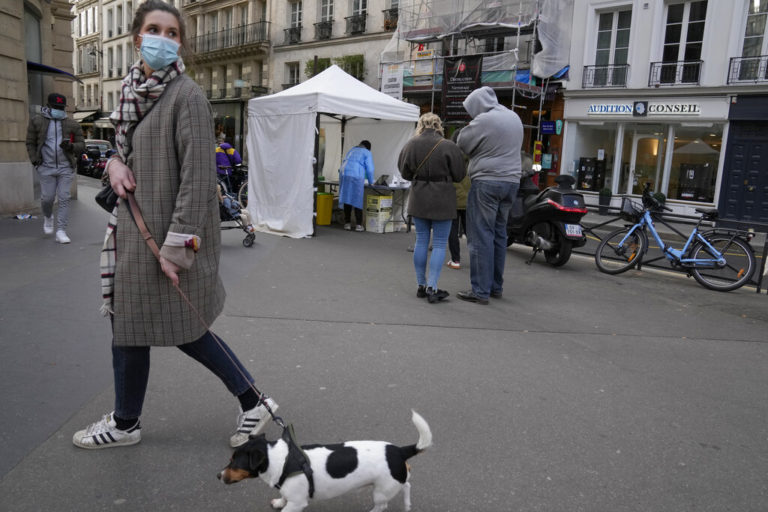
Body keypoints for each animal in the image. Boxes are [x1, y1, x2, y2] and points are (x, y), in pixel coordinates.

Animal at [218, 412, 432, 512]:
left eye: (234, 462)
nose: (218, 475)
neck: (281, 459)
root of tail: (399, 451)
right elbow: (283, 497)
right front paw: (279, 501)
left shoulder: (297, 503)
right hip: (394, 481)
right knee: (407, 485)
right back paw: (407, 505)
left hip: (381, 492)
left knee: (381, 506)